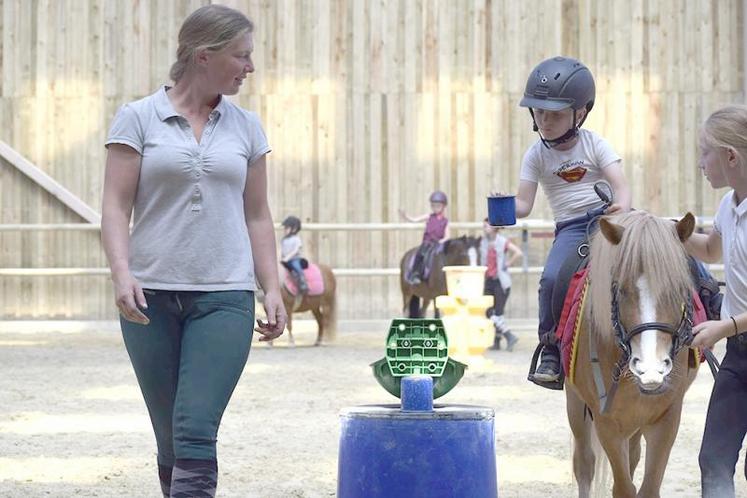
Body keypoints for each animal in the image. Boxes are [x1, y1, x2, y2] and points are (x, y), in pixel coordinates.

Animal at [568, 211, 700, 498]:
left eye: (678, 289)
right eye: (620, 289)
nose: (651, 369)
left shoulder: (666, 420)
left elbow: (648, 487)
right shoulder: (606, 423)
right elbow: (623, 487)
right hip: (575, 404)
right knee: (584, 463)